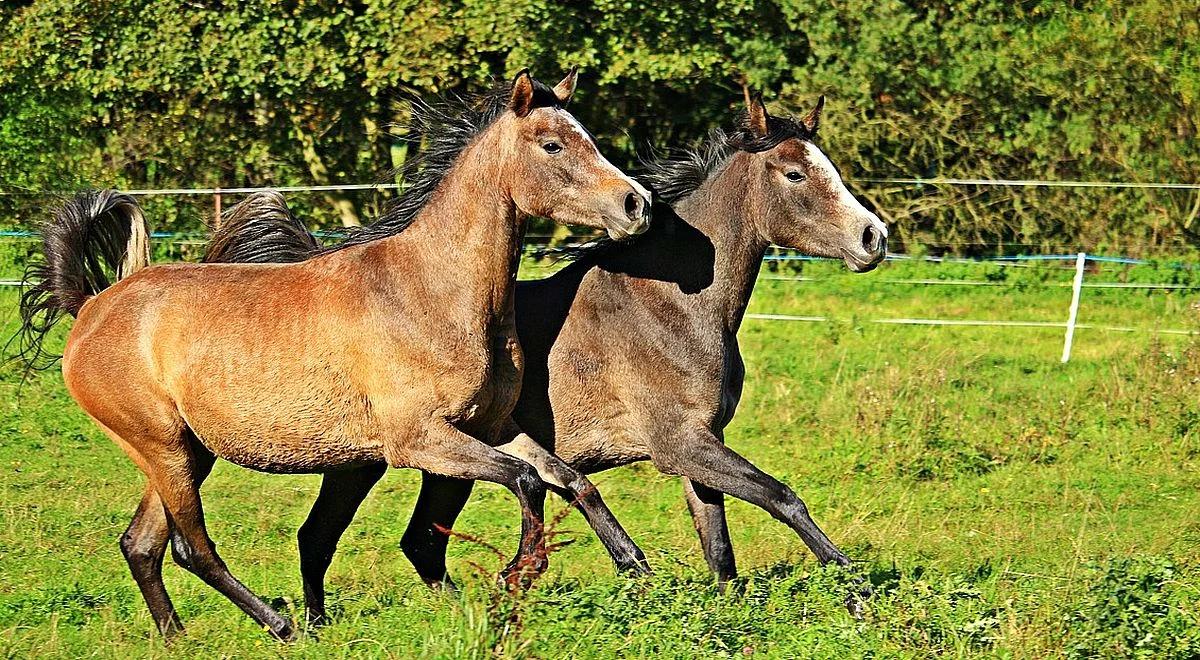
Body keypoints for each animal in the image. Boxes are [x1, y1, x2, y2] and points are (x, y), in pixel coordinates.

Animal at [14, 68, 652, 643]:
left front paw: (636, 568)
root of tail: (90, 308)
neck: (433, 292)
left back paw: (179, 639)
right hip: (163, 447)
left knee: (141, 544)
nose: (636, 204)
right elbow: (526, 481)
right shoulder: (419, 441)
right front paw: (518, 572)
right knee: (190, 547)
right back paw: (283, 625)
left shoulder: (491, 426)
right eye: (552, 143)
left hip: (185, 453)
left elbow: (569, 478)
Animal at [204, 91, 883, 614]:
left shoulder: (698, 443)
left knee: (411, 541)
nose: (873, 238)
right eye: (795, 174)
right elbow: (781, 496)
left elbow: (718, 544)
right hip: (369, 460)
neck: (670, 305)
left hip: (429, 463)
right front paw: (855, 589)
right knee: (330, 537)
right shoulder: (680, 444)